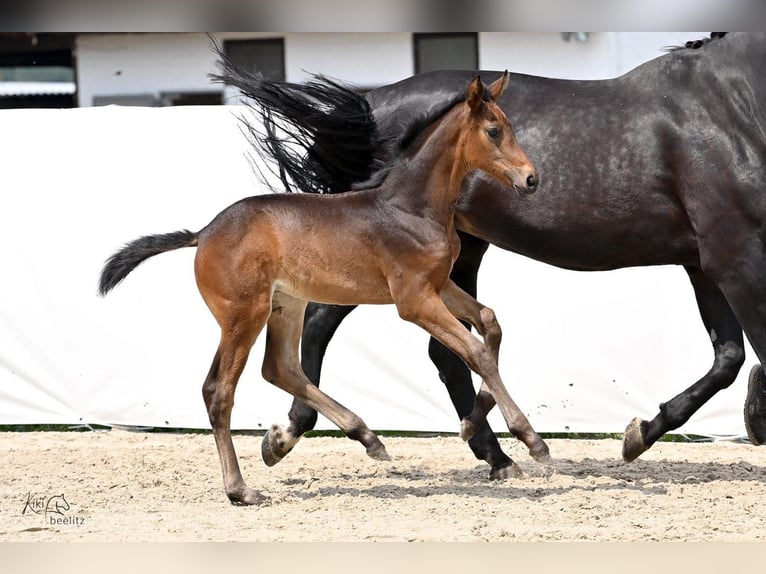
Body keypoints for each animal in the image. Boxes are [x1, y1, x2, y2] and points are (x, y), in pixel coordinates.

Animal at [100, 74, 544, 506]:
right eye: (493, 131)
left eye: (510, 127)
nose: (531, 179)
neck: (410, 208)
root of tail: (204, 233)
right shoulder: (413, 300)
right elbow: (476, 352)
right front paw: (530, 438)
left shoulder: (439, 284)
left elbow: (489, 323)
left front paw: (471, 423)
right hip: (244, 314)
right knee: (219, 390)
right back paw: (241, 490)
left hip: (286, 304)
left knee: (279, 368)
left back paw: (364, 438)